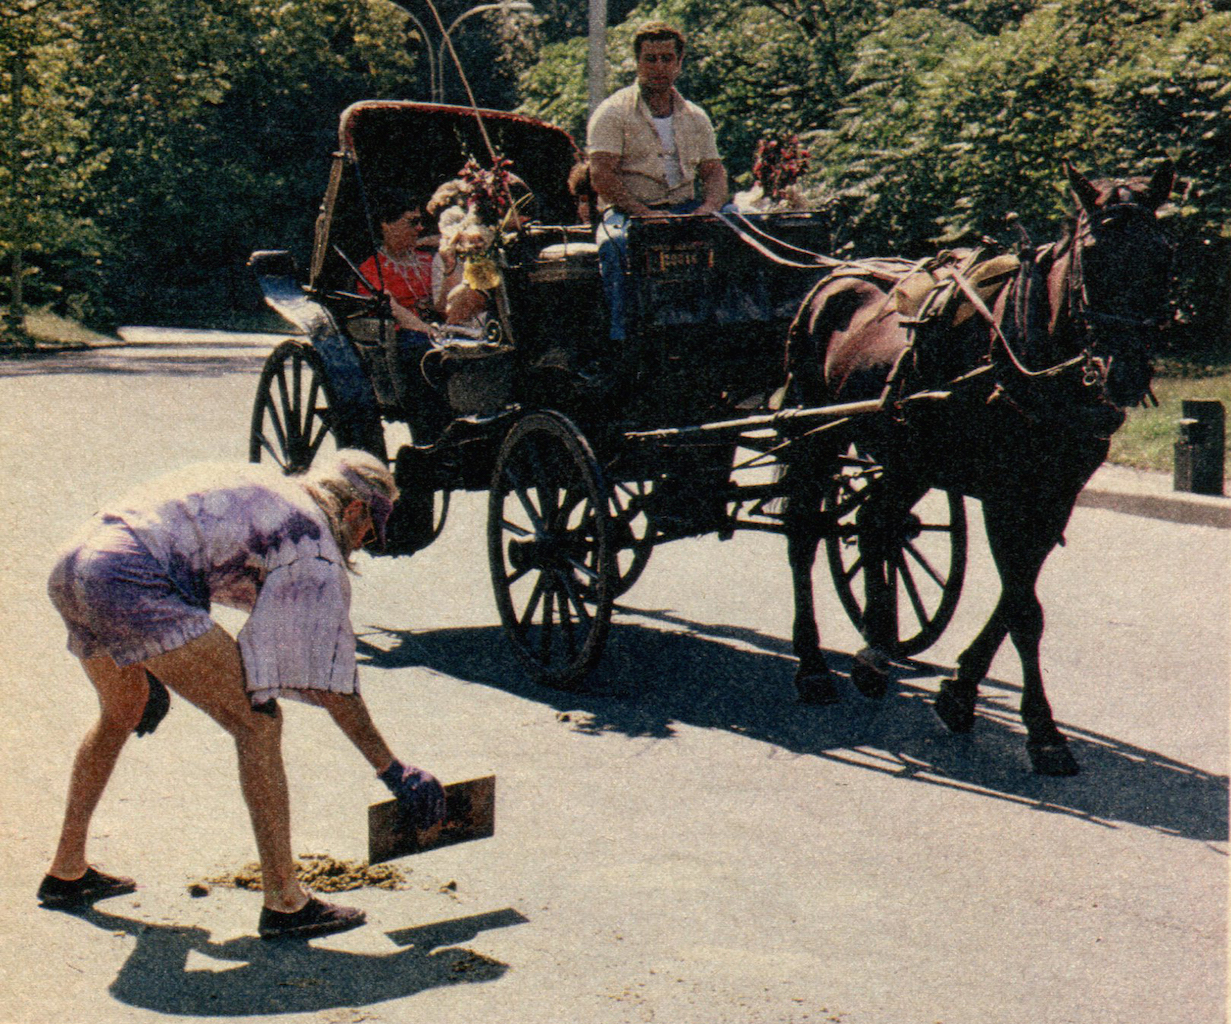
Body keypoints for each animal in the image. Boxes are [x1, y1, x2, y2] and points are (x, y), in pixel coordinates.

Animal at [782, 160, 1176, 772]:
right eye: (1092, 254)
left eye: (1162, 253)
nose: (1126, 373)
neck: (1030, 355)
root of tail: (834, 277)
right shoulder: (1003, 493)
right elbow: (1023, 608)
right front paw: (1043, 731)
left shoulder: (1054, 495)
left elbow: (1017, 599)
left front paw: (962, 692)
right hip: (816, 434)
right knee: (803, 533)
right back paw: (813, 664)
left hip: (910, 458)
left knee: (876, 523)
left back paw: (876, 649)